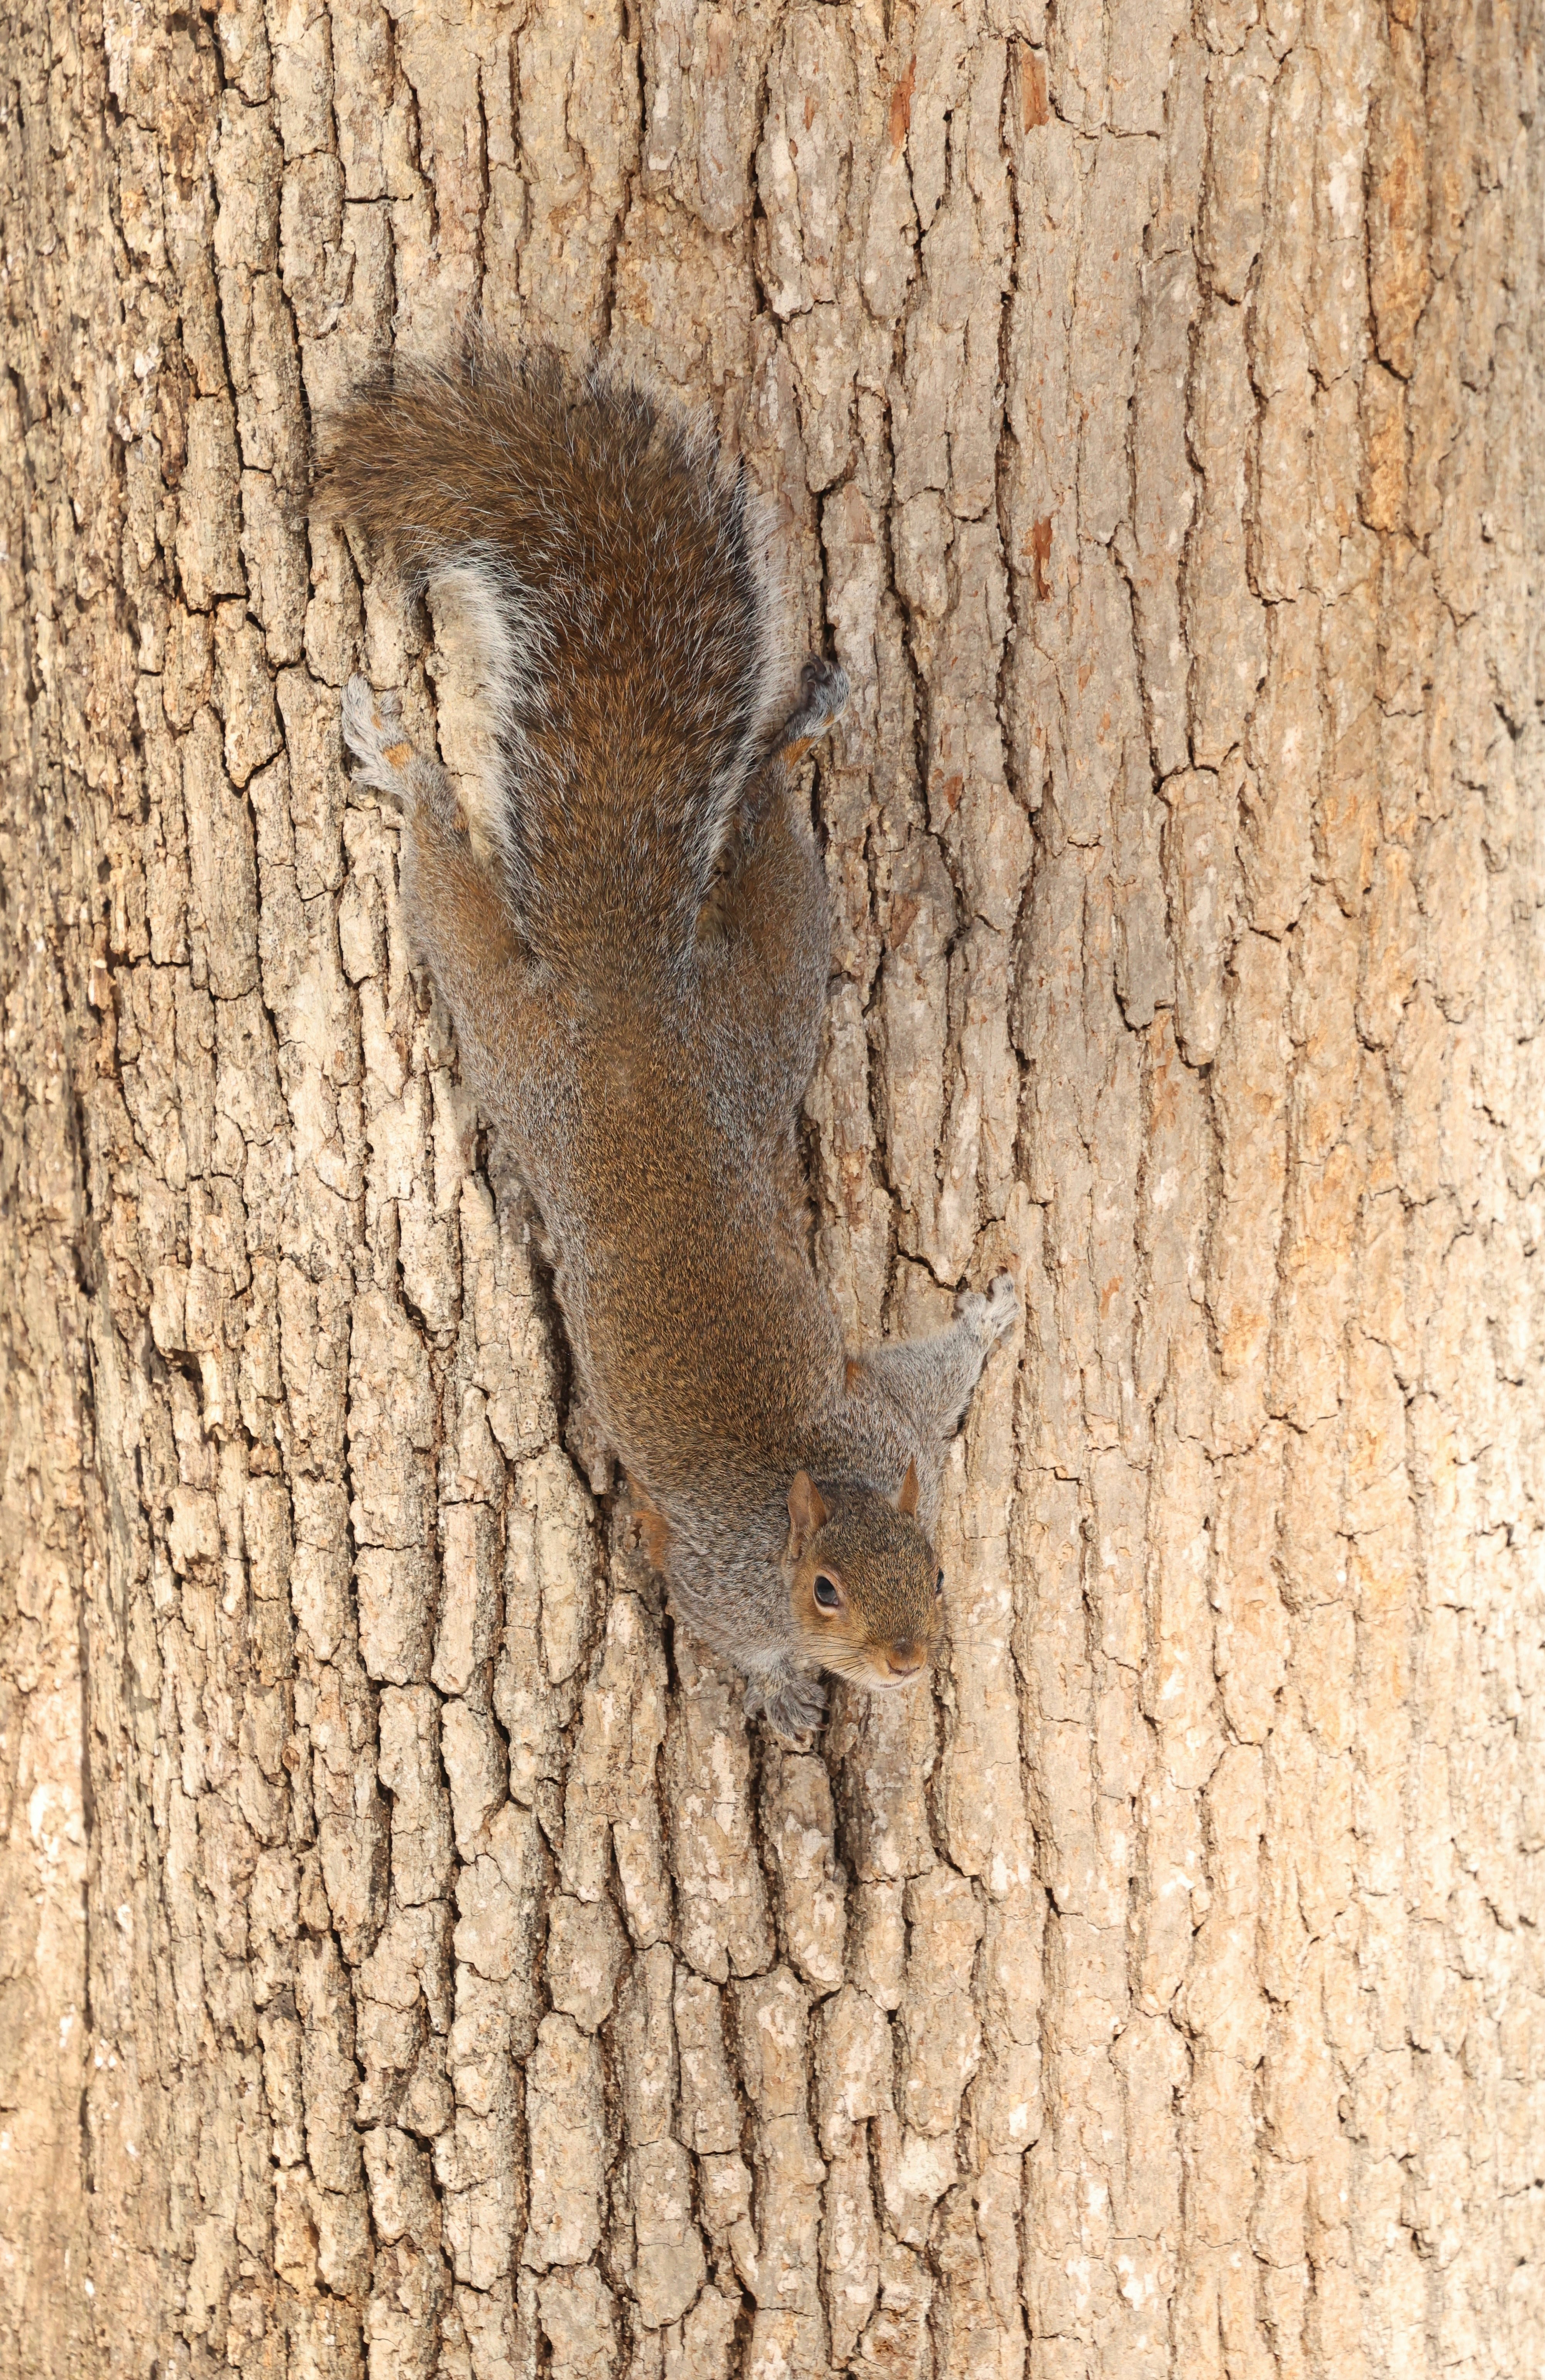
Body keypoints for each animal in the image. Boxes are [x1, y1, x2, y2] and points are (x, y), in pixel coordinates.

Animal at [314, 343, 1016, 1737]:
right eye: (823, 1592)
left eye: (933, 1565)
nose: (911, 1663)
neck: (810, 1478)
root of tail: (629, 992)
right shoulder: (705, 1566)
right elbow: (725, 1631)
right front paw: (784, 1696)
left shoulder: (887, 1424)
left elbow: (925, 1374)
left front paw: (989, 1313)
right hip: (515, 1031)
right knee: (450, 886)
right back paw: (402, 764)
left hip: (757, 1025)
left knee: (758, 826)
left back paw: (798, 720)